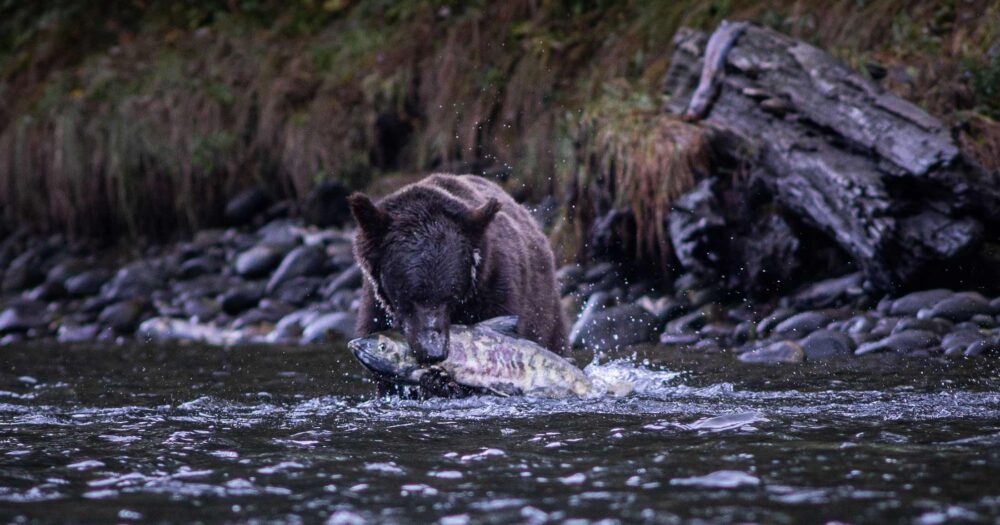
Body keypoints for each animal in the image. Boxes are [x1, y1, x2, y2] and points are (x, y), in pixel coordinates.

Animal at [348, 173, 566, 366]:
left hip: (546, 312)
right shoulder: (374, 309)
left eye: (451, 296)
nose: (433, 352)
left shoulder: (497, 293)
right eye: (408, 296)